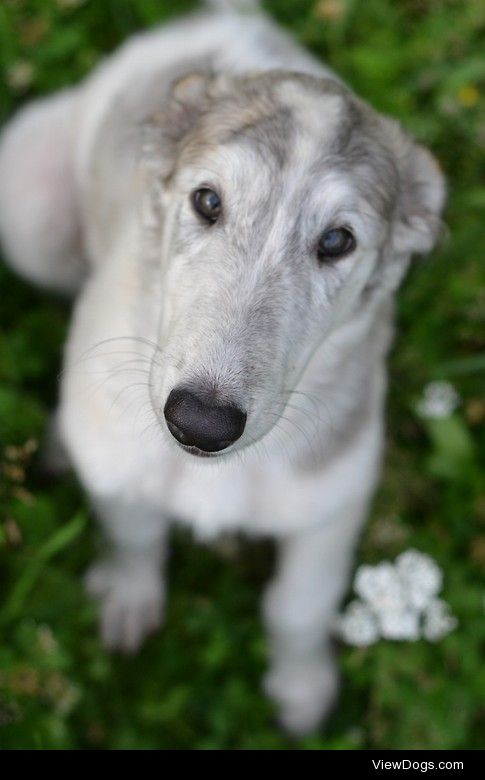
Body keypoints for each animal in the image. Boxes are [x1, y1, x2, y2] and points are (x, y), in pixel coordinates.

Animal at [0, 0, 444, 736]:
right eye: (207, 202)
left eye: (336, 241)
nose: (200, 424)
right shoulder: (122, 468)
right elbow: (133, 534)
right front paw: (127, 600)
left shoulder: (332, 501)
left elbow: (298, 605)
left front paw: (301, 691)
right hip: (27, 211)